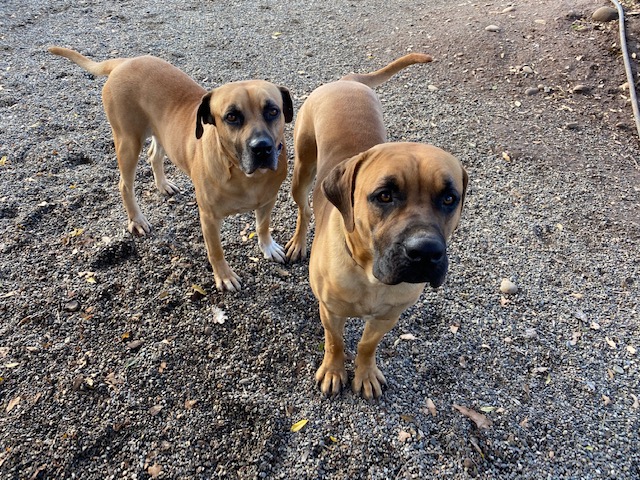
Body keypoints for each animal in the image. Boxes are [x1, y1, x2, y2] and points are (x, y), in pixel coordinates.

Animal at [48, 47, 294, 290]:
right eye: (232, 116)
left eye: (273, 111)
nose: (261, 148)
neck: (244, 175)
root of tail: (124, 62)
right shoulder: (209, 217)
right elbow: (216, 251)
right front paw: (224, 276)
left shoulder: (267, 201)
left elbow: (263, 226)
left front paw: (267, 246)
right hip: (128, 142)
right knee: (125, 184)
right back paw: (137, 220)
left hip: (160, 133)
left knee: (154, 155)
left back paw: (163, 185)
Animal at [288, 52, 468, 400]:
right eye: (384, 195)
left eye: (449, 198)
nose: (426, 252)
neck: (370, 275)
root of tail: (346, 81)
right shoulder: (330, 310)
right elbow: (335, 342)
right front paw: (334, 371)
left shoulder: (388, 316)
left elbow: (367, 344)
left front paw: (365, 373)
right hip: (302, 167)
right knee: (303, 209)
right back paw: (298, 242)